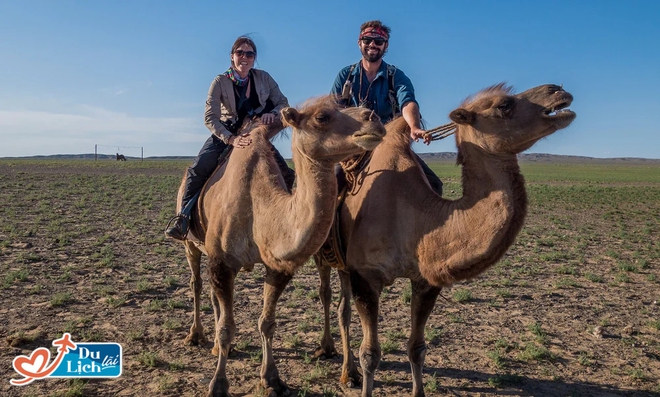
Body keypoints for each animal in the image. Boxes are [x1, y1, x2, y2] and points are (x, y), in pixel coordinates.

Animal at [177, 96, 386, 396]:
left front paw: (272, 379)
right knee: (196, 283)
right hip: (190, 243)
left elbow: (267, 323)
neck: (259, 206)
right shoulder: (222, 261)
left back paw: (218, 347)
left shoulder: (277, 266)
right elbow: (227, 327)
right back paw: (196, 336)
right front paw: (217, 385)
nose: (375, 118)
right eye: (322, 117)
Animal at [314, 84, 572, 396]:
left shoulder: (426, 279)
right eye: (504, 105)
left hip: (345, 265)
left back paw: (347, 371)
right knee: (328, 296)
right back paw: (330, 354)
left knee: (343, 306)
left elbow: (417, 348)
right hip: (324, 254)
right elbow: (371, 354)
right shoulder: (366, 276)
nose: (558, 91)